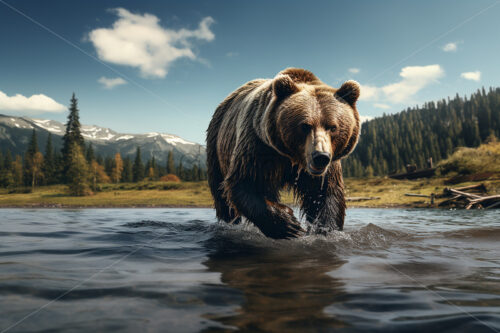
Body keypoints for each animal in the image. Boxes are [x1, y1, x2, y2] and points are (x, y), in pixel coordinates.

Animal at [206, 68, 360, 239]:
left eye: (333, 127)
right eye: (305, 126)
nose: (320, 157)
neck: (292, 158)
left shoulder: (328, 166)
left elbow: (326, 193)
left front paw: (325, 229)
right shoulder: (258, 145)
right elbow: (245, 182)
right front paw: (289, 225)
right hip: (216, 145)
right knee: (222, 196)